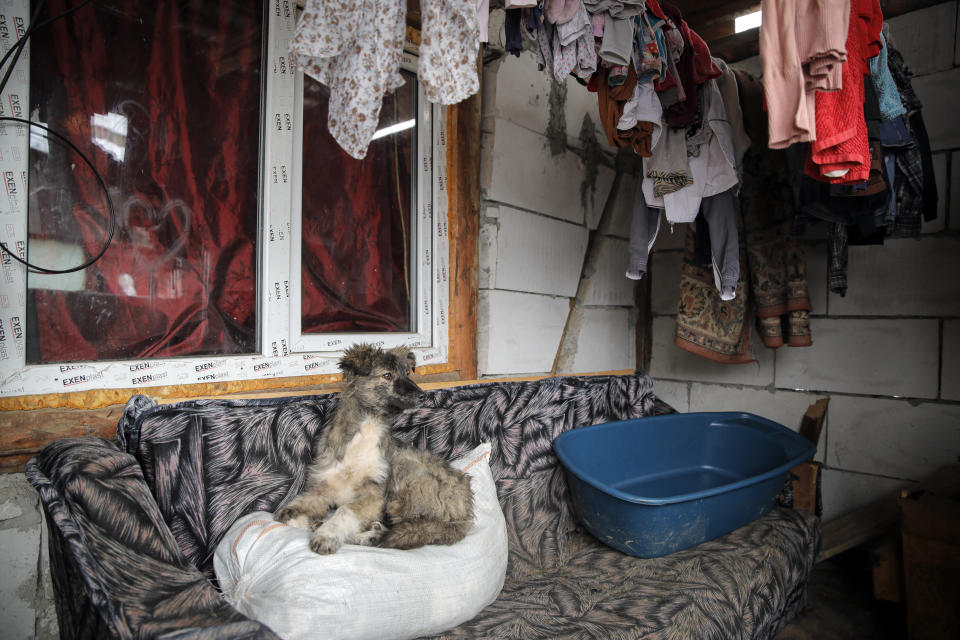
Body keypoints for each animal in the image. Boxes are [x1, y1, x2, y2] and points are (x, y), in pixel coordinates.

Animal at [276, 342, 474, 552]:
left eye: (407, 373)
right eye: (387, 375)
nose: (423, 396)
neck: (369, 424)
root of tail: (465, 509)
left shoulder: (375, 496)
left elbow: (345, 511)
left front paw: (326, 535)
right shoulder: (321, 489)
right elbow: (285, 514)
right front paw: (311, 522)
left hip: (403, 470)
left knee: (408, 527)